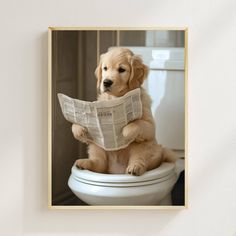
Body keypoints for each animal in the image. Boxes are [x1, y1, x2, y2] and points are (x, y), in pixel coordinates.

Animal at [72, 47, 175, 175]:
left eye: (121, 70)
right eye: (105, 68)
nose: (106, 82)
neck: (117, 98)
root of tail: (117, 170)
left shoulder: (150, 126)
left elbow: (136, 124)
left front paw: (124, 133)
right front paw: (78, 129)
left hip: (146, 146)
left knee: (140, 156)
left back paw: (135, 168)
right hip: (98, 144)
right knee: (99, 163)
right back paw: (85, 163)